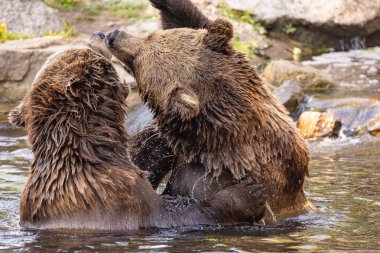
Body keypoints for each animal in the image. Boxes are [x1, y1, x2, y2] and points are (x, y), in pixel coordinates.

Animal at [7, 32, 266, 230]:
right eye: (87, 46)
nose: (98, 34)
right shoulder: (120, 199)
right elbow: (179, 217)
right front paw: (249, 192)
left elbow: (144, 161)